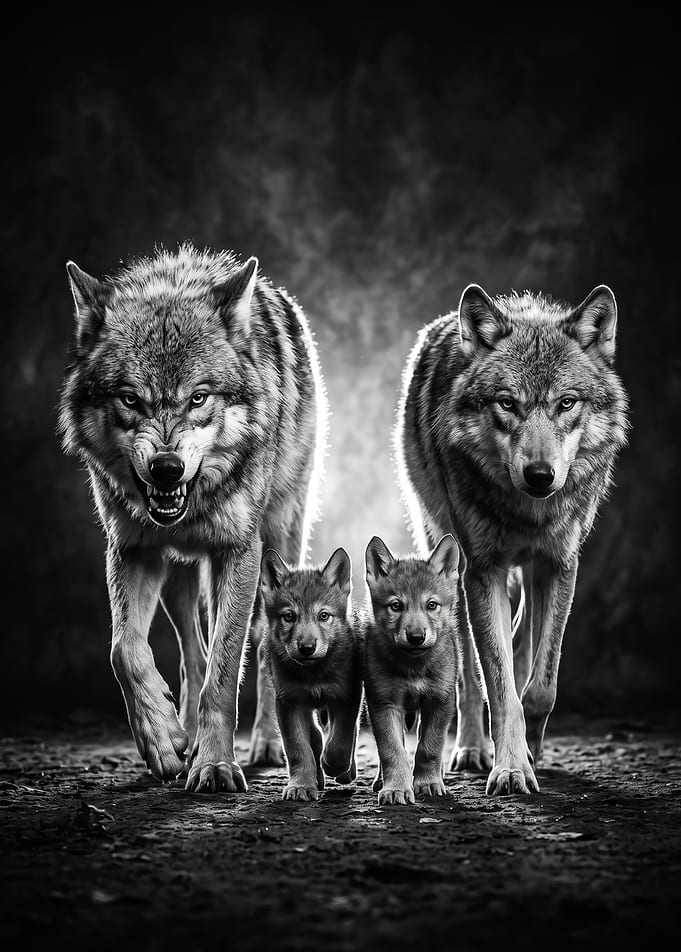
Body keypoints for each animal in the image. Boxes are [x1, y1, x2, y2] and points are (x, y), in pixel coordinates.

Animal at [58, 243, 327, 792]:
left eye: (199, 397)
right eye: (130, 398)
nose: (166, 467)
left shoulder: (238, 552)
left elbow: (226, 670)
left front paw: (216, 767)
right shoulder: (132, 548)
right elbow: (125, 650)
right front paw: (163, 741)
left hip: (279, 541)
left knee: (262, 645)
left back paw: (267, 743)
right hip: (180, 572)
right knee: (192, 650)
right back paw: (185, 734)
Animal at [259, 546, 363, 801]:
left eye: (323, 616)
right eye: (289, 617)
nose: (307, 648)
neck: (314, 674)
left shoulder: (347, 696)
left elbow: (341, 741)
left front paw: (335, 766)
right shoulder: (289, 702)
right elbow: (298, 748)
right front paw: (301, 785)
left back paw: (346, 772)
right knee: (315, 736)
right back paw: (317, 777)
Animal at [363, 534, 461, 805]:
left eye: (432, 605)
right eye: (396, 606)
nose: (416, 637)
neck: (414, 668)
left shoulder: (440, 701)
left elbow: (430, 748)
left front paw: (427, 783)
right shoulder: (384, 704)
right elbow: (391, 751)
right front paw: (396, 788)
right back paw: (380, 781)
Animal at [395, 283, 629, 795]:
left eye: (567, 403)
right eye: (507, 403)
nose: (540, 475)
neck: (529, 514)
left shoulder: (560, 564)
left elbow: (541, 686)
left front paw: (530, 750)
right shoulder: (483, 571)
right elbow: (499, 686)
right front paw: (510, 768)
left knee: (522, 637)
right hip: (452, 564)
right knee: (467, 672)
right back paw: (472, 749)